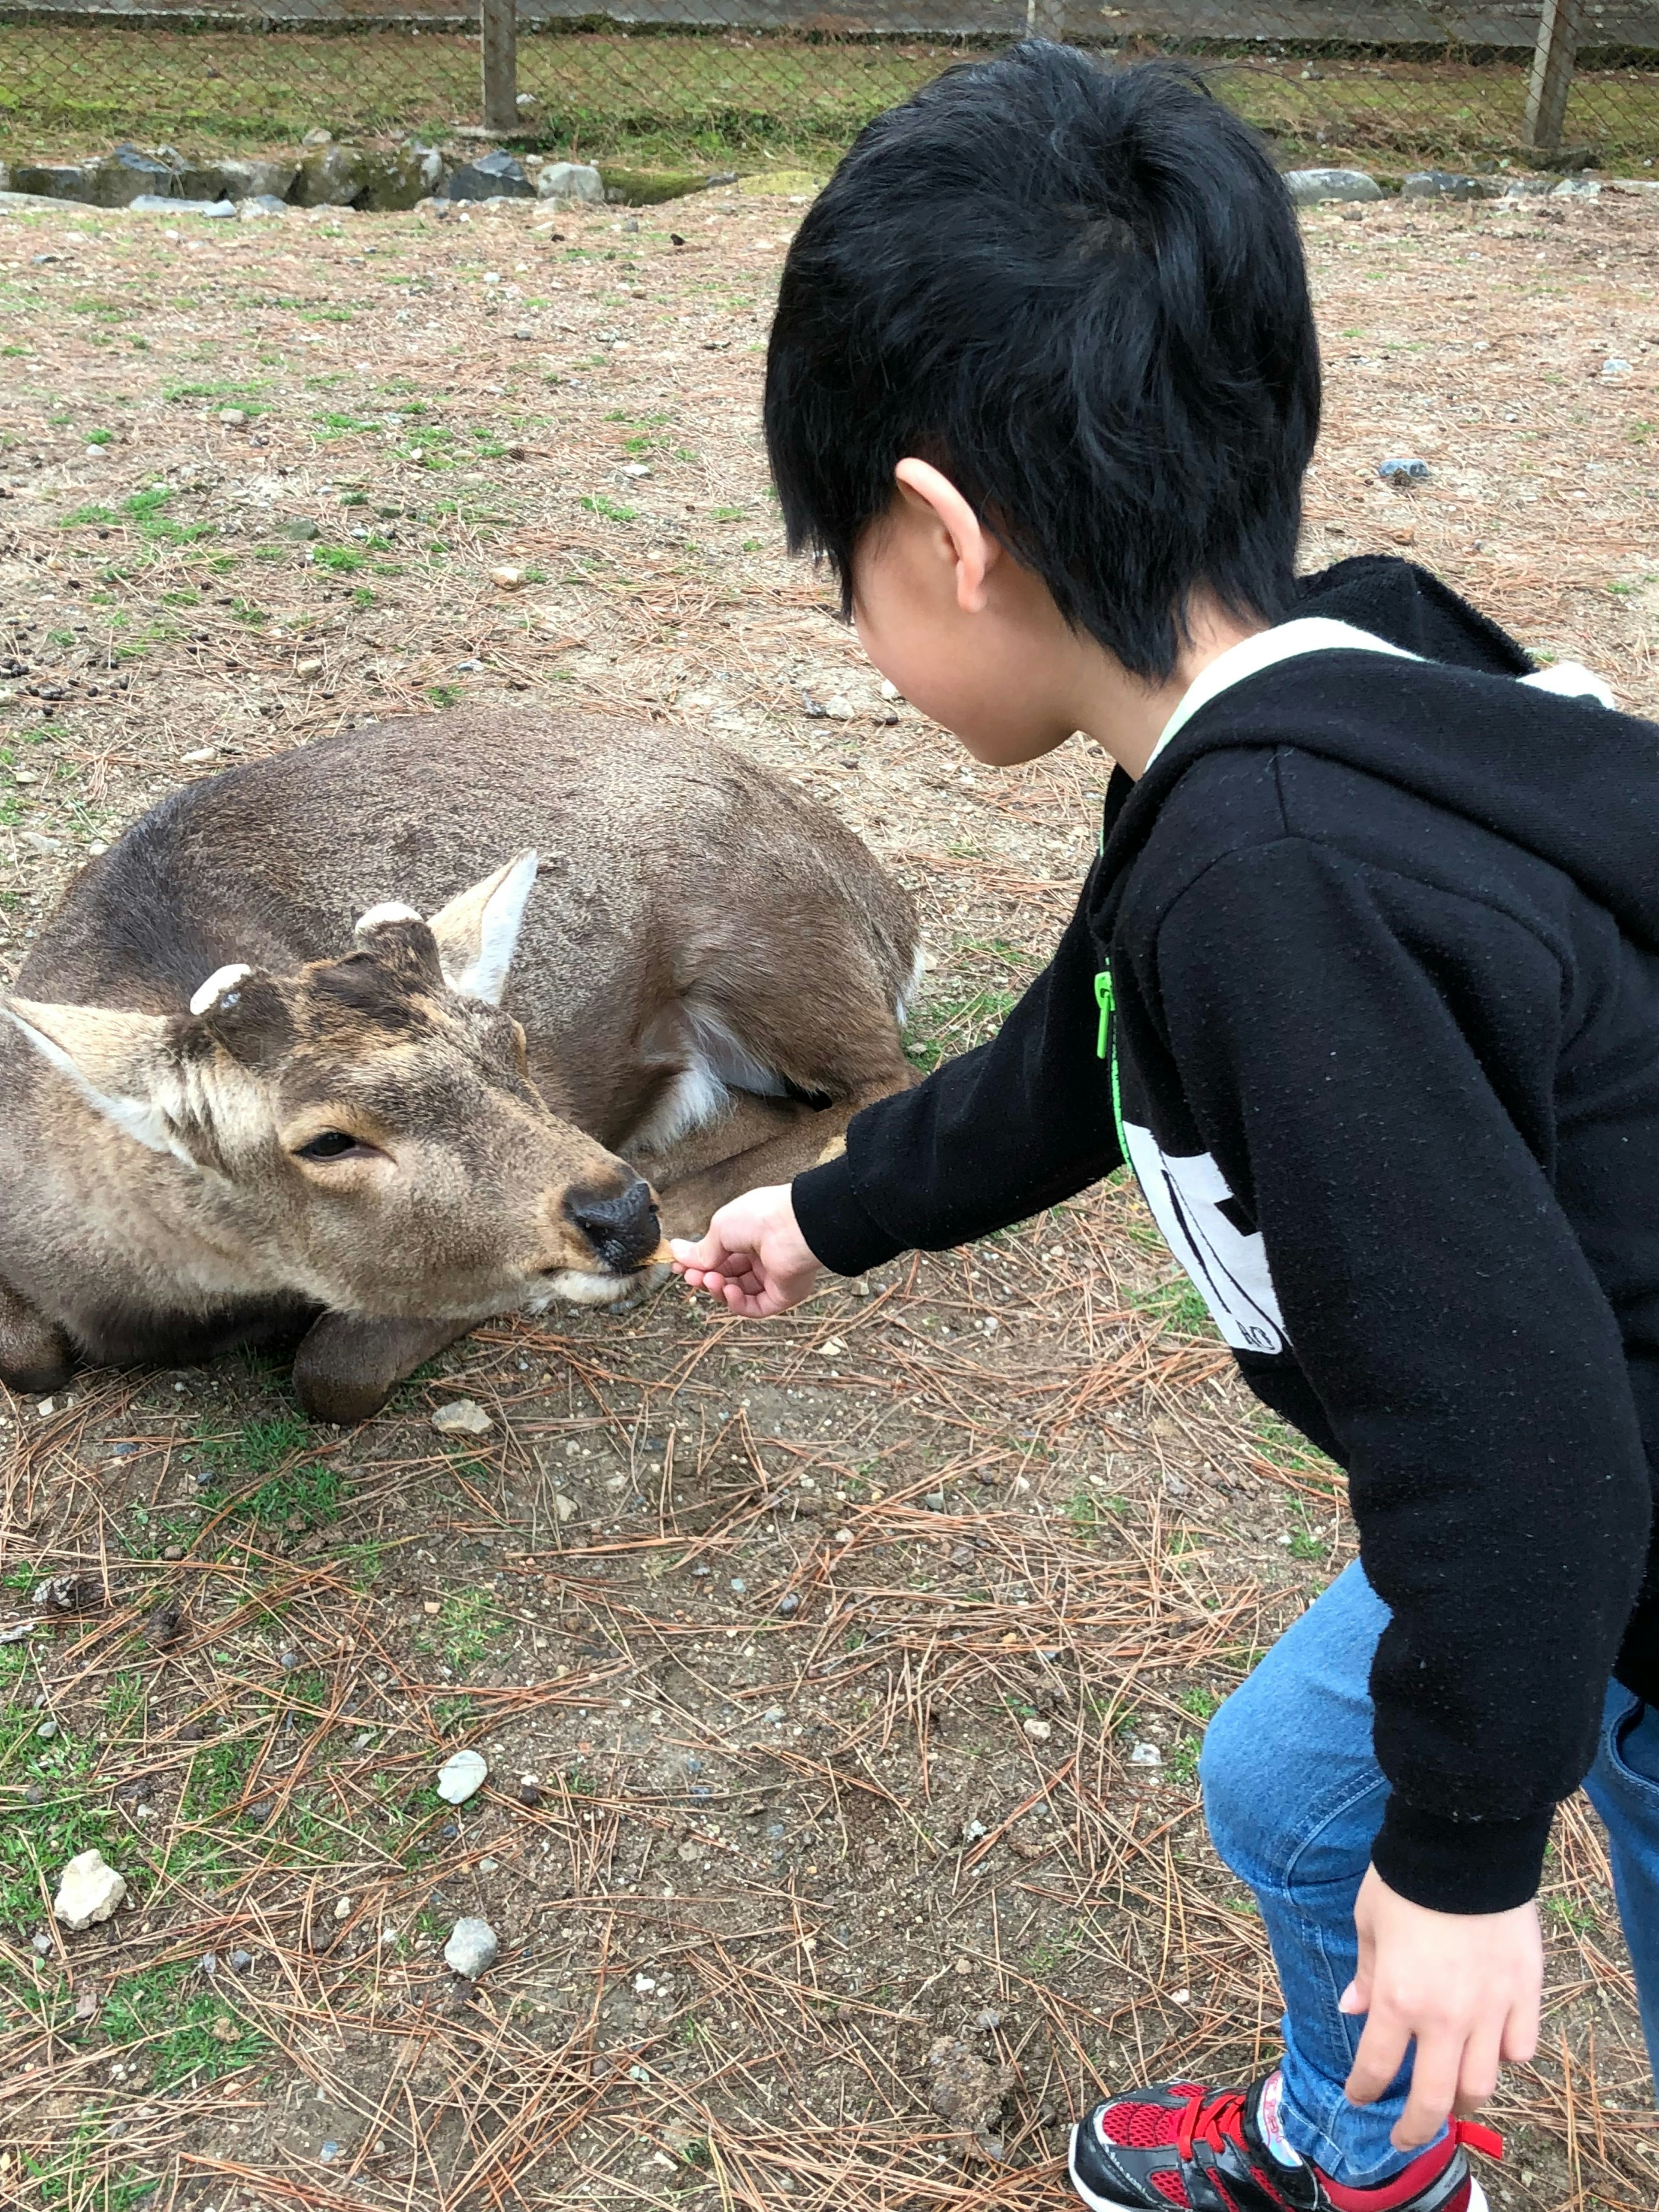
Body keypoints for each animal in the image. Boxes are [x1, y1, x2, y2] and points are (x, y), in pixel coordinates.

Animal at [0, 716, 925, 1424]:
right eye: (327, 1140)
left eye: (512, 1040)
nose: (623, 1214)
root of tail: (891, 912)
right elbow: (28, 1357)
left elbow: (332, 1371)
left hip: (766, 941)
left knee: (885, 1082)